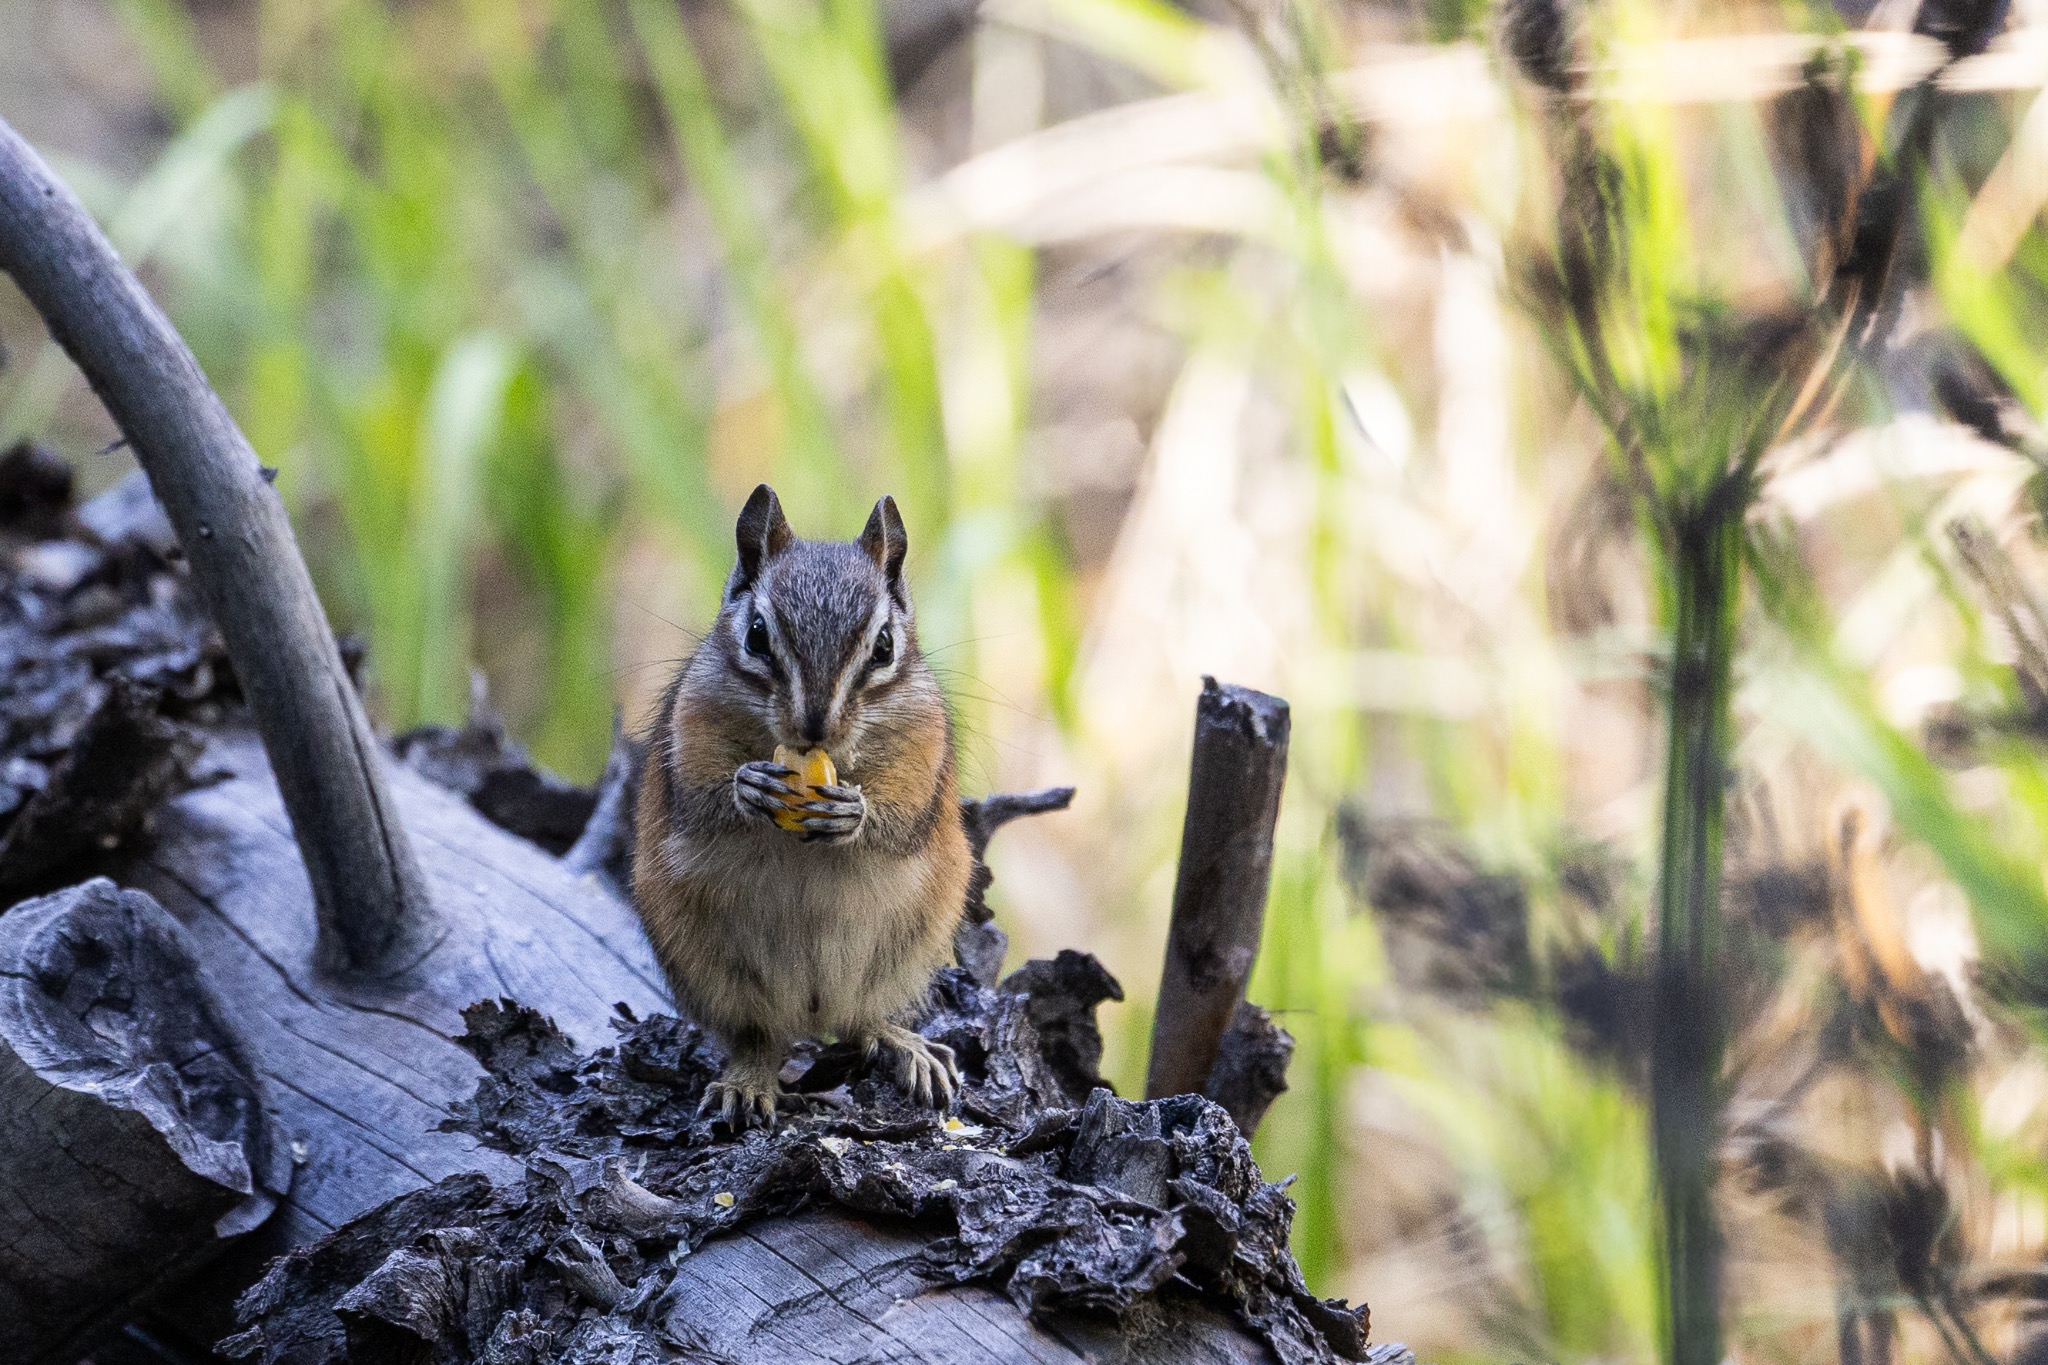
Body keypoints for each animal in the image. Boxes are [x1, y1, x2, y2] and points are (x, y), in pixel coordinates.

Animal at [633, 484, 971, 1129]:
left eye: (884, 646)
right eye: (756, 635)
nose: (814, 728)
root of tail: (812, 1011)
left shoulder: (924, 748)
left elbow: (901, 819)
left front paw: (852, 815)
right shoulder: (689, 728)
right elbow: (700, 797)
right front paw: (748, 788)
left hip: (905, 953)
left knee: (863, 1020)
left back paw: (908, 1048)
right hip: (710, 967)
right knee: (757, 1036)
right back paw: (747, 1082)